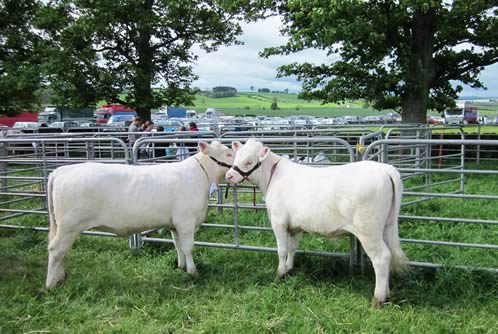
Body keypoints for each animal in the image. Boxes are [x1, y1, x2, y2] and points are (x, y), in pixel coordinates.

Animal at [46, 140, 233, 288]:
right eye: (228, 153)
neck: (201, 176)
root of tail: (62, 170)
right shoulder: (185, 221)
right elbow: (188, 247)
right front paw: (193, 272)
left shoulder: (174, 224)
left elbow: (177, 245)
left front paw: (181, 267)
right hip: (69, 225)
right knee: (56, 249)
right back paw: (51, 283)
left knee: (61, 251)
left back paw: (60, 277)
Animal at [226, 138, 408, 306]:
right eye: (237, 156)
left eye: (249, 161)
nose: (229, 175)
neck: (272, 178)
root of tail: (386, 169)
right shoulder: (295, 226)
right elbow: (292, 248)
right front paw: (289, 269)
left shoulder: (278, 221)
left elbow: (282, 250)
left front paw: (280, 274)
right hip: (387, 226)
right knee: (389, 255)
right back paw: (387, 294)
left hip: (368, 231)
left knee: (382, 257)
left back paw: (378, 299)